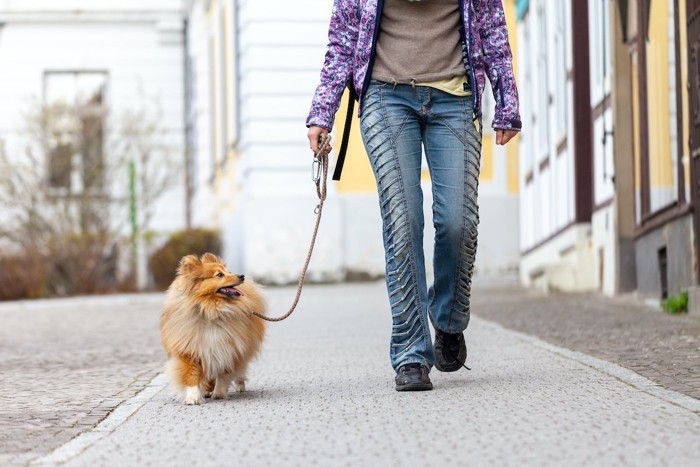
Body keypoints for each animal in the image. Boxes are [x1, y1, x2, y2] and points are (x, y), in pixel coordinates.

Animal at [160, 254, 266, 404]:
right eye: (220, 274)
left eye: (228, 271)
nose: (241, 276)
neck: (211, 311)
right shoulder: (191, 350)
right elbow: (192, 375)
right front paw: (193, 397)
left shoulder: (227, 349)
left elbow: (223, 374)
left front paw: (219, 393)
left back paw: (238, 385)